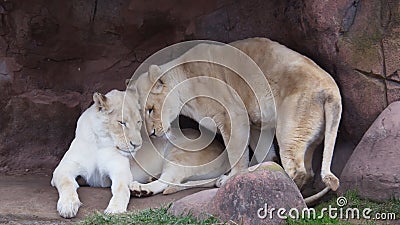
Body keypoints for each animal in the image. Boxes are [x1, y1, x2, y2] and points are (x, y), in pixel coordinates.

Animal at [51, 87, 230, 218]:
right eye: (122, 122)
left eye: (138, 122)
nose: (137, 145)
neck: (100, 142)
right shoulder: (63, 169)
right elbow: (66, 183)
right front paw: (67, 205)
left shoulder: (120, 170)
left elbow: (121, 189)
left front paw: (115, 209)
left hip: (179, 155)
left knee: (168, 181)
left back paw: (141, 189)